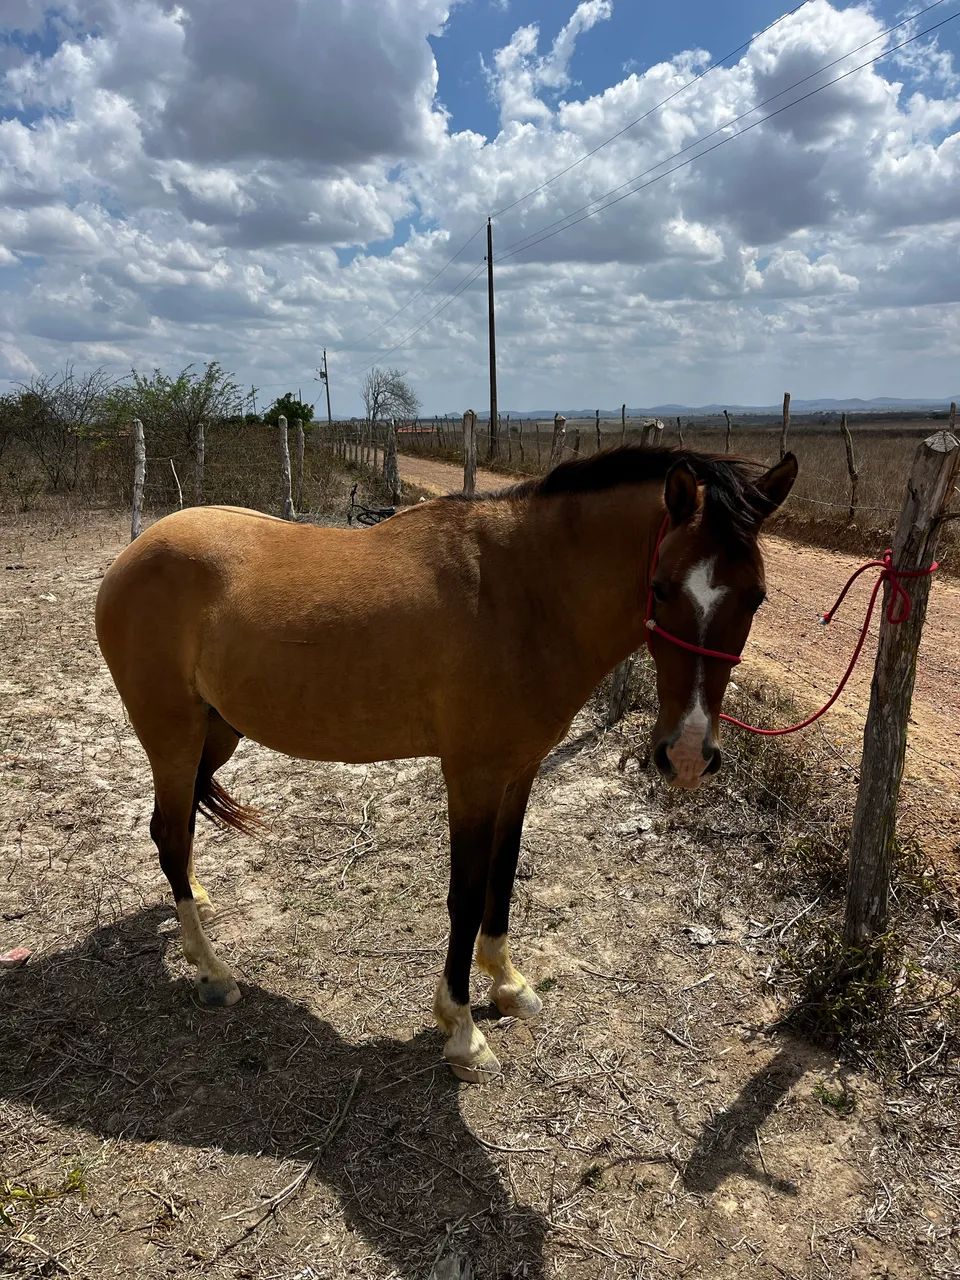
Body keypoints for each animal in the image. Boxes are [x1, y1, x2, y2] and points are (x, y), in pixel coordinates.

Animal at [95, 445, 797, 1081]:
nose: (687, 755)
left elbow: (502, 877)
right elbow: (465, 893)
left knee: (181, 831)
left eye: (759, 598)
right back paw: (212, 970)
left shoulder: (518, 772)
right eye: (661, 587)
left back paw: (198, 908)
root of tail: (136, 553)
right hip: (172, 734)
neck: (523, 593)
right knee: (170, 833)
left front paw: (507, 984)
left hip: (217, 732)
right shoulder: (471, 776)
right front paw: (461, 1031)